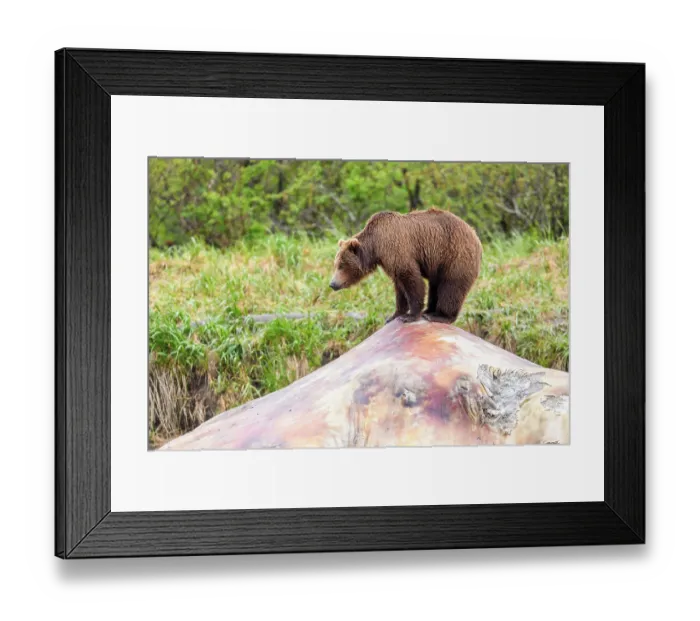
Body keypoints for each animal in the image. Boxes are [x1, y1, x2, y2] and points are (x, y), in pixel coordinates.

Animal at [329, 207, 482, 324]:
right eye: (335, 264)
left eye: (341, 265)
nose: (332, 284)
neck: (375, 246)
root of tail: (475, 236)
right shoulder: (390, 261)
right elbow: (399, 286)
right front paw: (393, 315)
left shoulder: (396, 249)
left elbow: (411, 279)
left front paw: (410, 316)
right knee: (436, 286)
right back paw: (429, 310)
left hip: (454, 256)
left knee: (451, 287)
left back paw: (439, 316)